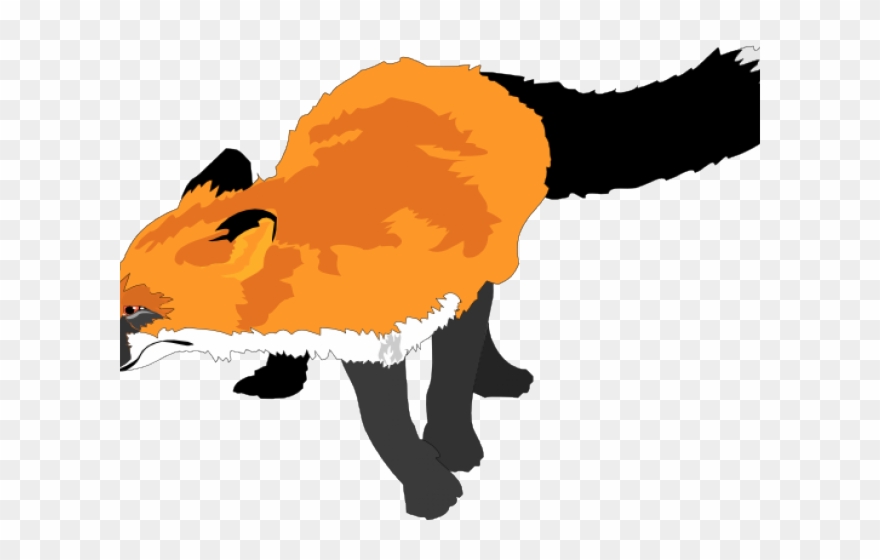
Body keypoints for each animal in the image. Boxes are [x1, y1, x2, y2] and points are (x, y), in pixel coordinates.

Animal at [120, 47, 760, 519]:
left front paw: (451, 455)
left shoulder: (440, 303)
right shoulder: (363, 335)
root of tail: (471, 72)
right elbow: (384, 424)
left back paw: (498, 378)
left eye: (134, 312)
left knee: (485, 325)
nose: (114, 362)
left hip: (491, 262)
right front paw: (428, 483)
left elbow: (443, 387)